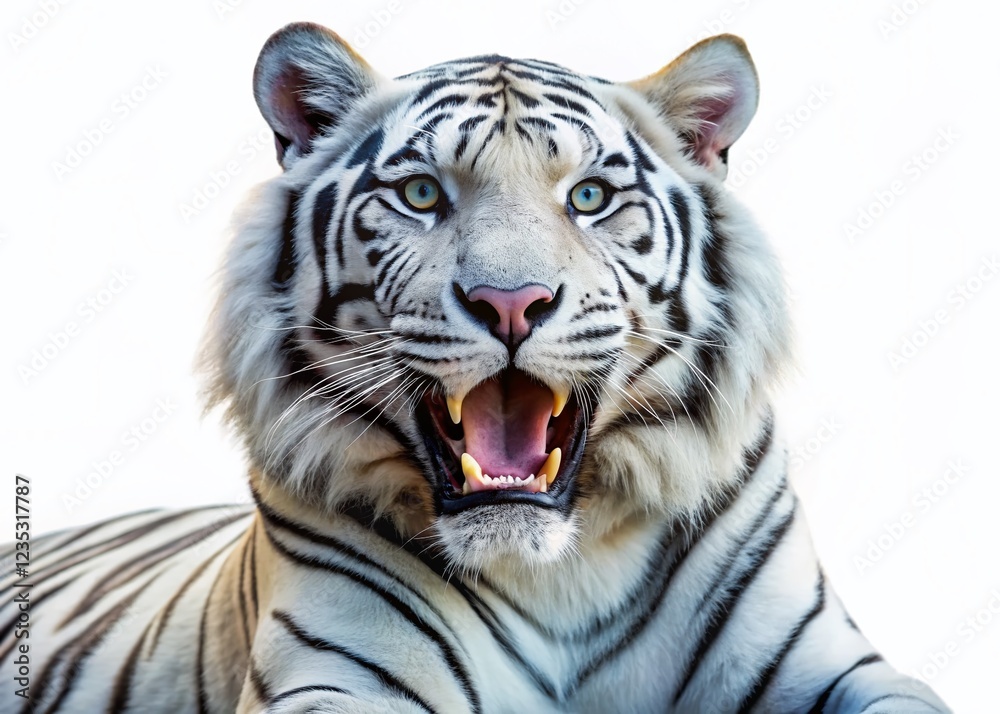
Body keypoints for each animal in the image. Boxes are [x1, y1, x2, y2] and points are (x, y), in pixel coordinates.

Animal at [1, 21, 951, 714]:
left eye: (590, 197)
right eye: (422, 194)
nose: (511, 302)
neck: (562, 569)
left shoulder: (823, 661)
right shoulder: (337, 671)